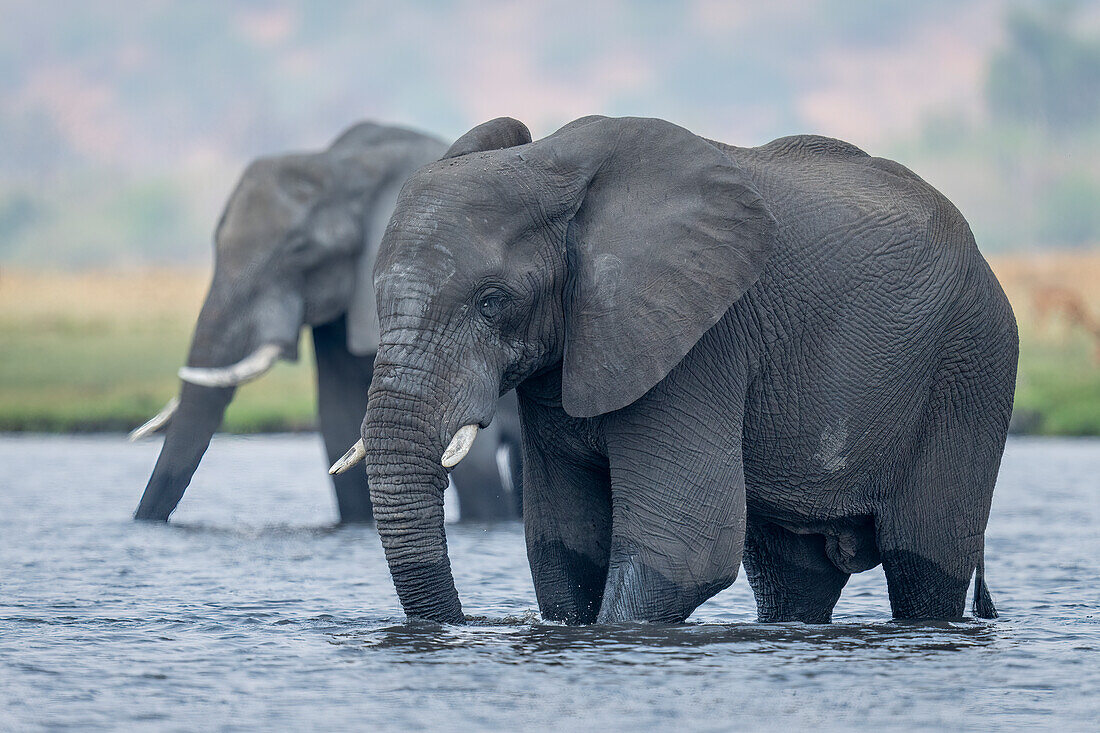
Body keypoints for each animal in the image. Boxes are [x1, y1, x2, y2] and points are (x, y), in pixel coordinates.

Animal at [336, 112, 1020, 620]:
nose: (460, 623)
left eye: (493, 300)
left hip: (971, 367)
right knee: (793, 574)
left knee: (922, 561)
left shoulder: (700, 339)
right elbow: (563, 546)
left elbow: (684, 547)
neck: (554, 168)